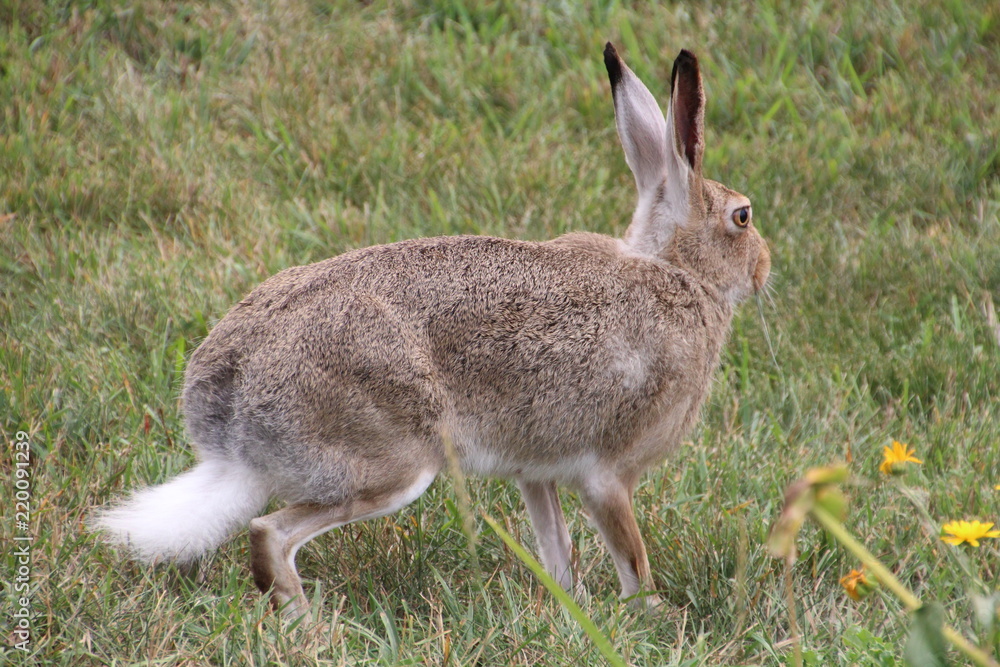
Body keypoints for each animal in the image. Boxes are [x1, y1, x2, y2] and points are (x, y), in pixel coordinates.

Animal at [91, 42, 771, 621]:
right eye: (742, 217)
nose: (765, 268)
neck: (678, 272)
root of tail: (231, 419)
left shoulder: (538, 473)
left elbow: (556, 548)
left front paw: (572, 609)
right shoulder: (607, 475)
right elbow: (631, 556)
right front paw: (651, 618)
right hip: (393, 460)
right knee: (270, 534)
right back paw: (312, 629)